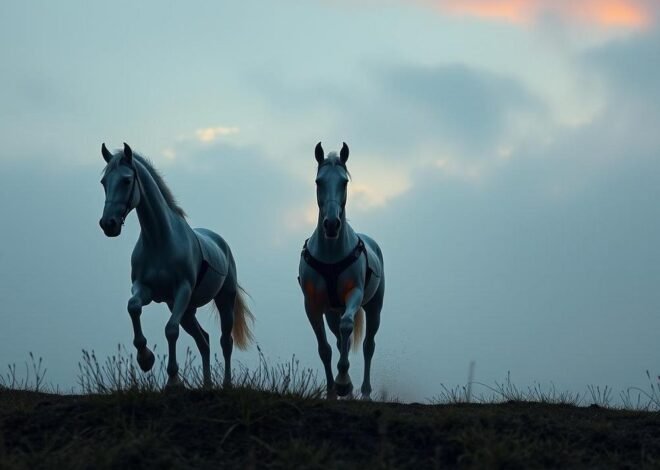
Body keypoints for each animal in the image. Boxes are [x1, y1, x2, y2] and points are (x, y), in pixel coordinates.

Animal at [98, 143, 254, 388]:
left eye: (126, 180)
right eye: (104, 182)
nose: (108, 224)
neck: (159, 240)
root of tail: (222, 244)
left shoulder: (182, 289)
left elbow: (170, 330)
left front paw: (173, 380)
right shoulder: (145, 289)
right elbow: (133, 307)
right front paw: (145, 359)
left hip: (223, 300)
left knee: (225, 341)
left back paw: (226, 384)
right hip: (187, 311)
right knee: (204, 341)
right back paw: (207, 385)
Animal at [298, 142, 385, 399]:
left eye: (344, 182)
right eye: (318, 181)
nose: (331, 224)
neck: (331, 255)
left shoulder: (354, 294)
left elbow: (348, 327)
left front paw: (344, 382)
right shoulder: (313, 305)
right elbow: (325, 349)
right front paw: (332, 390)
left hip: (374, 307)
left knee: (368, 346)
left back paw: (365, 392)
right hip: (331, 312)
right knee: (339, 342)